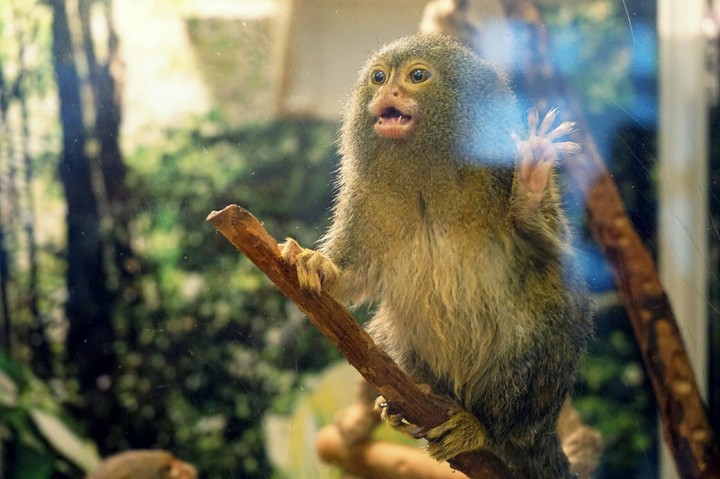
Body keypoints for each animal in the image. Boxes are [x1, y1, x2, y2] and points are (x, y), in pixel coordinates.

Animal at [281, 33, 592, 478]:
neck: (426, 173)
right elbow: (354, 275)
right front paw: (317, 266)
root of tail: (546, 431)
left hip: (538, 392)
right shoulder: (366, 196)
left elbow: (554, 251)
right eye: (379, 78)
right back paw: (415, 402)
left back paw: (481, 428)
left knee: (538, 326)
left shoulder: (500, 172)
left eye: (417, 77)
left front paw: (532, 177)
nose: (389, 93)